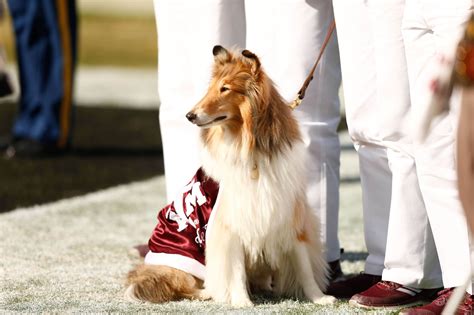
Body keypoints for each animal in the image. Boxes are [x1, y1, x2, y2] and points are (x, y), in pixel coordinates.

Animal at [125, 45, 334, 308]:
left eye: (225, 88)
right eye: (211, 88)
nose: (189, 115)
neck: (251, 149)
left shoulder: (289, 216)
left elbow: (304, 266)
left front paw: (319, 297)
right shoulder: (230, 224)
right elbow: (235, 269)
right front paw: (242, 301)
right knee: (181, 286)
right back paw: (209, 292)